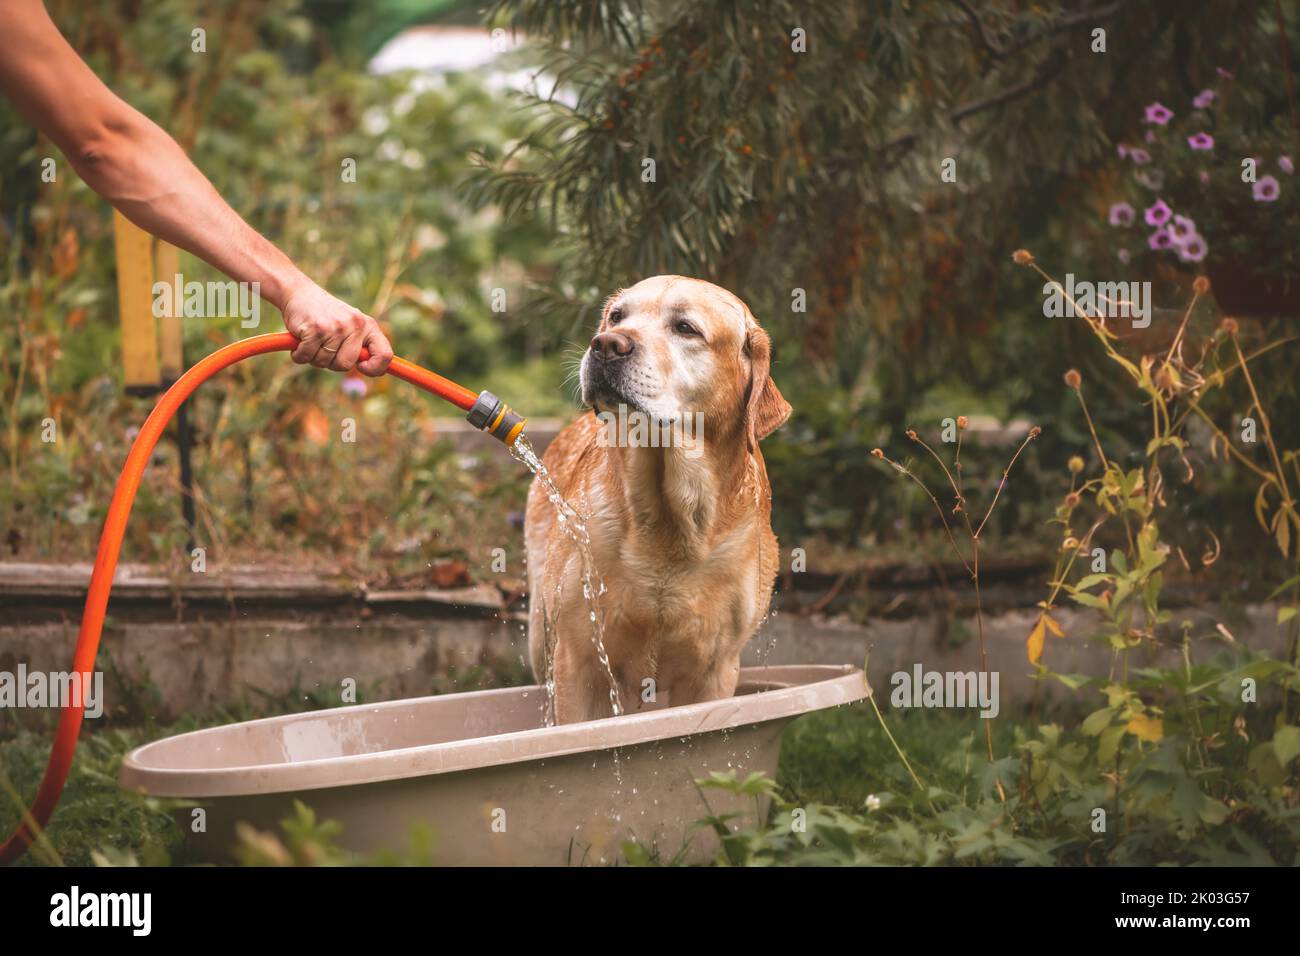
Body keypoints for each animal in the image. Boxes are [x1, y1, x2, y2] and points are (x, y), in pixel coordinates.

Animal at [520, 277, 785, 723]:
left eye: (685, 328)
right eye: (616, 316)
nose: (605, 345)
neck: (669, 517)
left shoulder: (715, 668)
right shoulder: (578, 659)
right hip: (542, 635)